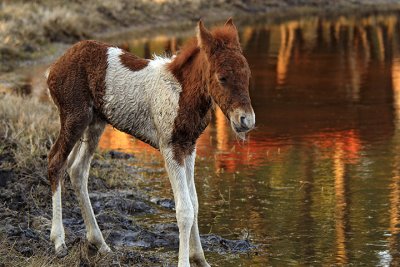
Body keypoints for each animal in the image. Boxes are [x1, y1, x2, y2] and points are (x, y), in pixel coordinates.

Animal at [46, 17, 253, 266]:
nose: (246, 120)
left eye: (247, 75)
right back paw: (59, 242)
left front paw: (200, 259)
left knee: (77, 170)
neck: (183, 93)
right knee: (56, 162)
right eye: (222, 78)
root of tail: (54, 68)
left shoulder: (189, 146)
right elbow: (184, 209)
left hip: (94, 123)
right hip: (74, 117)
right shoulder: (170, 147)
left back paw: (100, 244)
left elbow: (194, 203)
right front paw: (185, 262)